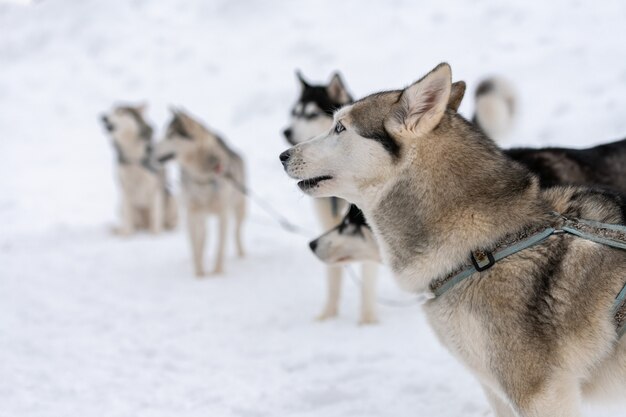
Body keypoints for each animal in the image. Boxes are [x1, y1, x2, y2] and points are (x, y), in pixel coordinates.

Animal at [100, 103, 177, 234]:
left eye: (121, 112)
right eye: (111, 111)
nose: (103, 117)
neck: (134, 156)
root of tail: (144, 225)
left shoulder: (155, 187)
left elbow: (156, 217)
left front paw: (156, 235)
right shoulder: (125, 188)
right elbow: (128, 221)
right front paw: (126, 235)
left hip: (171, 199)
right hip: (120, 206)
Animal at [155, 109, 245, 276]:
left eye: (170, 135)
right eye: (165, 133)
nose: (149, 148)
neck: (203, 178)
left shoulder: (223, 214)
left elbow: (220, 247)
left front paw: (217, 272)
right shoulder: (193, 213)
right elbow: (196, 247)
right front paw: (199, 275)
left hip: (240, 208)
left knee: (237, 233)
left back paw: (242, 254)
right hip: (197, 215)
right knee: (202, 238)